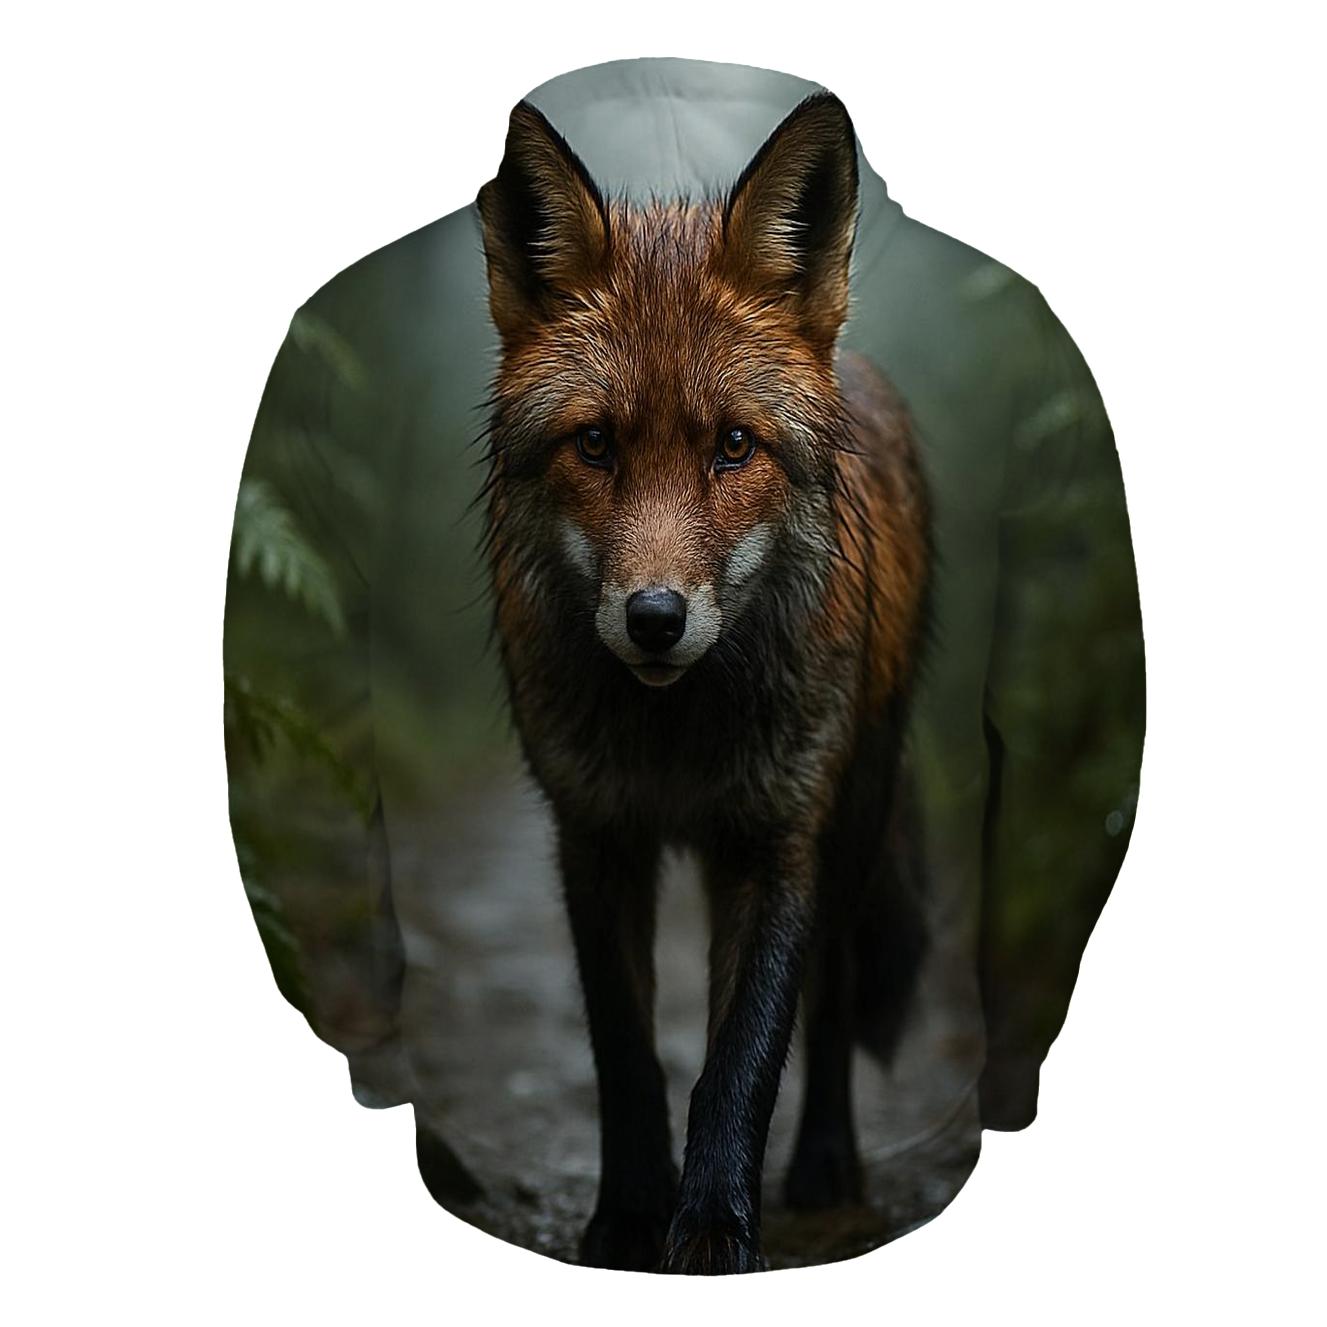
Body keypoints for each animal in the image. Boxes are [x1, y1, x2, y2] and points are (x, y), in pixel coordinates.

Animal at [475, 91, 932, 1274]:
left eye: (732, 445)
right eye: (595, 443)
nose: (654, 618)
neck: (674, 737)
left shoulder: (779, 834)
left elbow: (743, 1058)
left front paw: (718, 1227)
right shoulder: (593, 833)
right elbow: (628, 1053)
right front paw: (628, 1217)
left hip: (857, 821)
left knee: (832, 1003)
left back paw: (825, 1163)